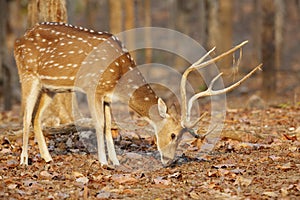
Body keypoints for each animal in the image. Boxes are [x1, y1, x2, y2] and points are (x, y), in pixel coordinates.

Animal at [15, 21, 262, 166]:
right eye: (174, 134)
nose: (169, 161)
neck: (119, 76)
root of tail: (20, 38)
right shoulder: (93, 87)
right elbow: (98, 124)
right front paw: (103, 162)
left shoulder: (107, 97)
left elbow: (108, 127)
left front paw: (115, 162)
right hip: (27, 74)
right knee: (26, 116)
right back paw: (24, 160)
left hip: (50, 87)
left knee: (36, 118)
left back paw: (48, 158)